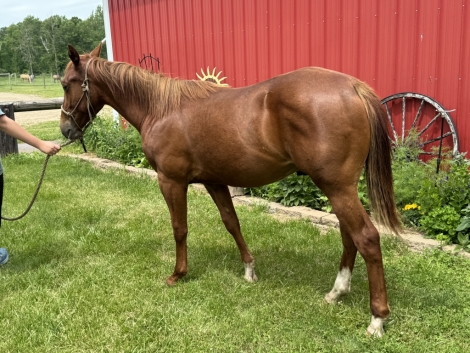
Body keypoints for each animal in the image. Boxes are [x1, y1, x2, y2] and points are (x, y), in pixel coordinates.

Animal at [60, 43, 402, 336]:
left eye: (65, 84)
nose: (65, 129)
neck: (161, 108)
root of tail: (354, 87)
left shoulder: (171, 181)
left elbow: (179, 228)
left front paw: (178, 274)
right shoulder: (215, 181)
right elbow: (231, 223)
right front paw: (249, 269)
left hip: (336, 187)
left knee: (366, 238)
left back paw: (377, 318)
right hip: (338, 188)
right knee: (348, 235)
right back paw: (336, 292)